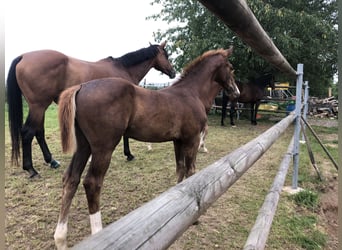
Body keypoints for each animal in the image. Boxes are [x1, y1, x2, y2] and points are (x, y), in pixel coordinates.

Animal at [6, 41, 175, 178]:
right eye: (166, 55)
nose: (173, 72)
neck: (123, 69)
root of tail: (23, 57)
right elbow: (126, 134)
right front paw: (129, 154)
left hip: (39, 107)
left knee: (39, 132)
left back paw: (52, 161)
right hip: (38, 106)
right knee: (28, 132)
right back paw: (31, 170)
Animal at [54, 47, 239, 249]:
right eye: (230, 67)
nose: (235, 92)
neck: (191, 93)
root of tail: (81, 87)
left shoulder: (178, 140)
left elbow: (180, 169)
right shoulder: (191, 139)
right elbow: (191, 171)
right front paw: (195, 217)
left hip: (83, 147)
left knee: (70, 179)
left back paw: (60, 238)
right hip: (103, 148)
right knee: (92, 183)